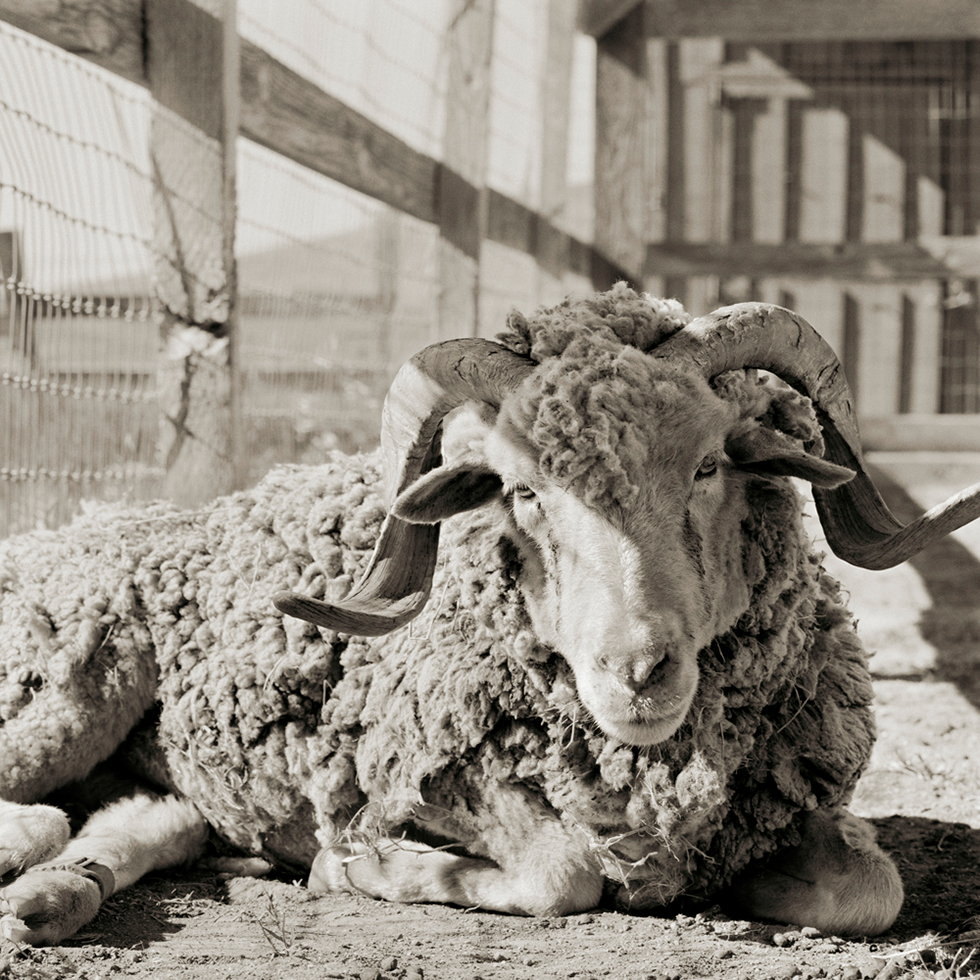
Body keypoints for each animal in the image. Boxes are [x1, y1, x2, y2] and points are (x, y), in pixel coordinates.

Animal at [3, 288, 976, 944]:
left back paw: (50, 895)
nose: (639, 672)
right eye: (522, 491)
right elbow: (564, 873)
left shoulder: (800, 799)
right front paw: (357, 862)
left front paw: (742, 889)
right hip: (74, 692)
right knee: (41, 796)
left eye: (709, 467)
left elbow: (870, 892)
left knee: (136, 818)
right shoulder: (430, 772)